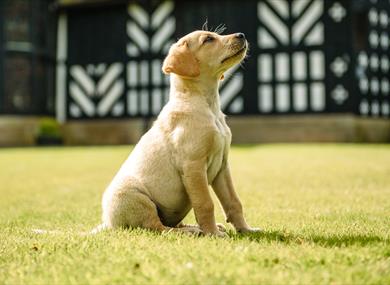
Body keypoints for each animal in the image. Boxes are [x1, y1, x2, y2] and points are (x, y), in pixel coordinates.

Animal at [99, 30, 260, 236]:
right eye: (208, 39)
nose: (241, 35)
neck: (208, 105)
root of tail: (107, 223)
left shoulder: (222, 166)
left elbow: (234, 202)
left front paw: (246, 230)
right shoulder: (193, 165)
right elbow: (205, 203)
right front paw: (213, 234)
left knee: (171, 224)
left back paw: (195, 228)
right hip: (135, 197)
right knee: (159, 228)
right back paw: (193, 232)